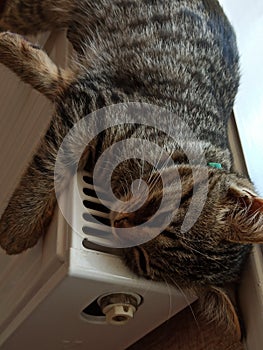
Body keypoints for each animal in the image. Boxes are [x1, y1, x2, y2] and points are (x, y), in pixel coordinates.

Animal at [0, 0, 263, 340]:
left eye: (141, 258)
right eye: (160, 207)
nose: (120, 221)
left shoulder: (89, 89)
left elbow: (59, 80)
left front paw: (20, 52)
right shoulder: (95, 103)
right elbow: (54, 158)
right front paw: (20, 225)